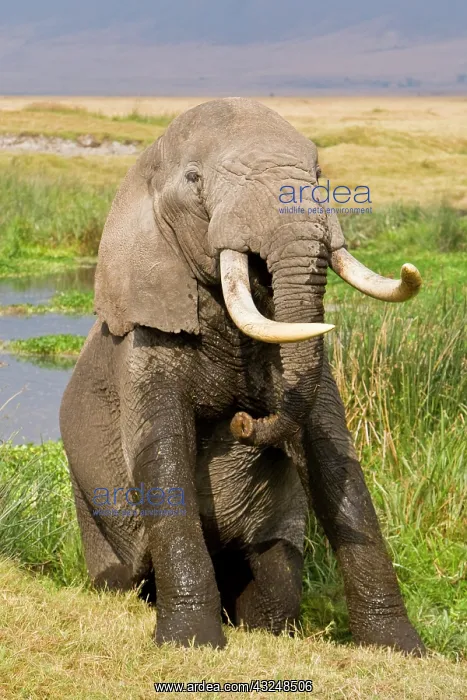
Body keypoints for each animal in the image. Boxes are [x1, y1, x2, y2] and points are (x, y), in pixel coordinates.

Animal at [60, 97, 425, 655]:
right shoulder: (142, 346)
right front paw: (190, 644)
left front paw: (401, 649)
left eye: (319, 173)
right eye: (194, 180)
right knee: (120, 577)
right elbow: (162, 452)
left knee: (274, 591)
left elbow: (332, 450)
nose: (243, 423)